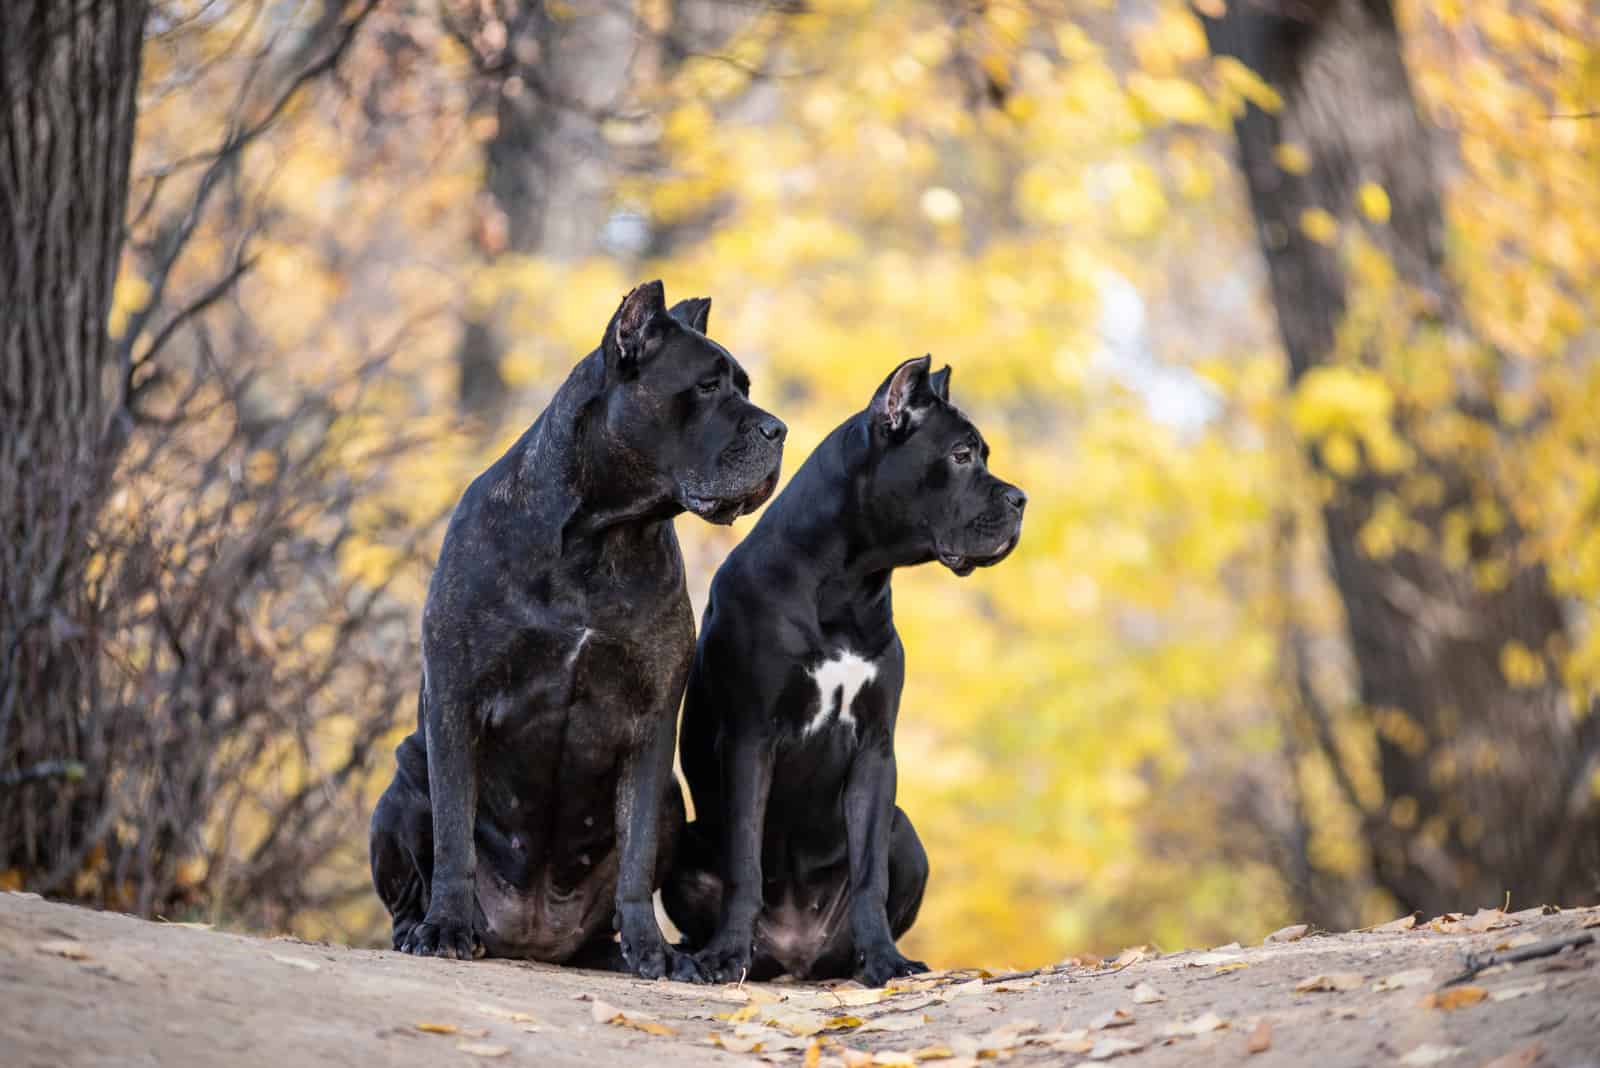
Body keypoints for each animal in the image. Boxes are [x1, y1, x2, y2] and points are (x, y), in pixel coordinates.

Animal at [368, 281, 780, 978]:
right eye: (706, 387)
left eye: (744, 387)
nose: (778, 430)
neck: (602, 536)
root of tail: (533, 939)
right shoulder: (455, 697)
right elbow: (453, 833)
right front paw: (445, 926)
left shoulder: (650, 725)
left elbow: (634, 856)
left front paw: (650, 950)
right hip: (402, 781)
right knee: (411, 880)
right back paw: (425, 928)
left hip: (670, 802)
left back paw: (623, 951)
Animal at [662, 356, 1024, 984]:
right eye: (960, 455)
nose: (1022, 499)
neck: (849, 583)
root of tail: (795, 955)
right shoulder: (751, 739)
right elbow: (744, 863)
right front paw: (726, 955)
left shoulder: (876, 749)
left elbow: (869, 874)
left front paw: (884, 959)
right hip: (683, 842)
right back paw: (705, 954)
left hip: (907, 834)